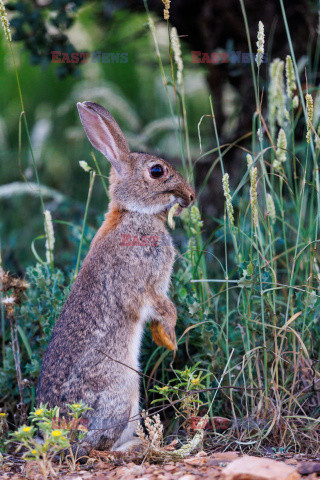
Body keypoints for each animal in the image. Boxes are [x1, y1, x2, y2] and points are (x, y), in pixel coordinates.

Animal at [36, 102, 194, 458]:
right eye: (157, 171)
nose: (190, 196)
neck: (131, 213)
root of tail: (59, 435)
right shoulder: (145, 285)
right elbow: (165, 309)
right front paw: (170, 341)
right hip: (122, 392)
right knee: (97, 447)